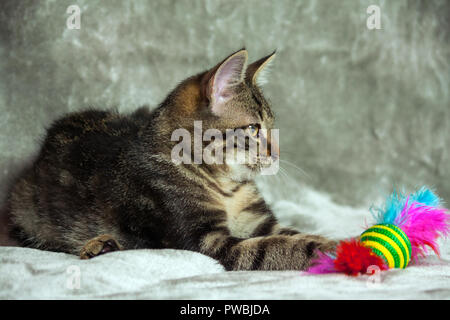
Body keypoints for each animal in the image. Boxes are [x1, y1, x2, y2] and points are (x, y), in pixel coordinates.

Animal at [5, 49, 336, 270]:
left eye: (271, 126)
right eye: (254, 128)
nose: (276, 153)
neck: (226, 187)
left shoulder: (262, 224)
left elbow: (293, 235)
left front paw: (334, 240)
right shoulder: (205, 242)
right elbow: (279, 247)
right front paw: (334, 248)